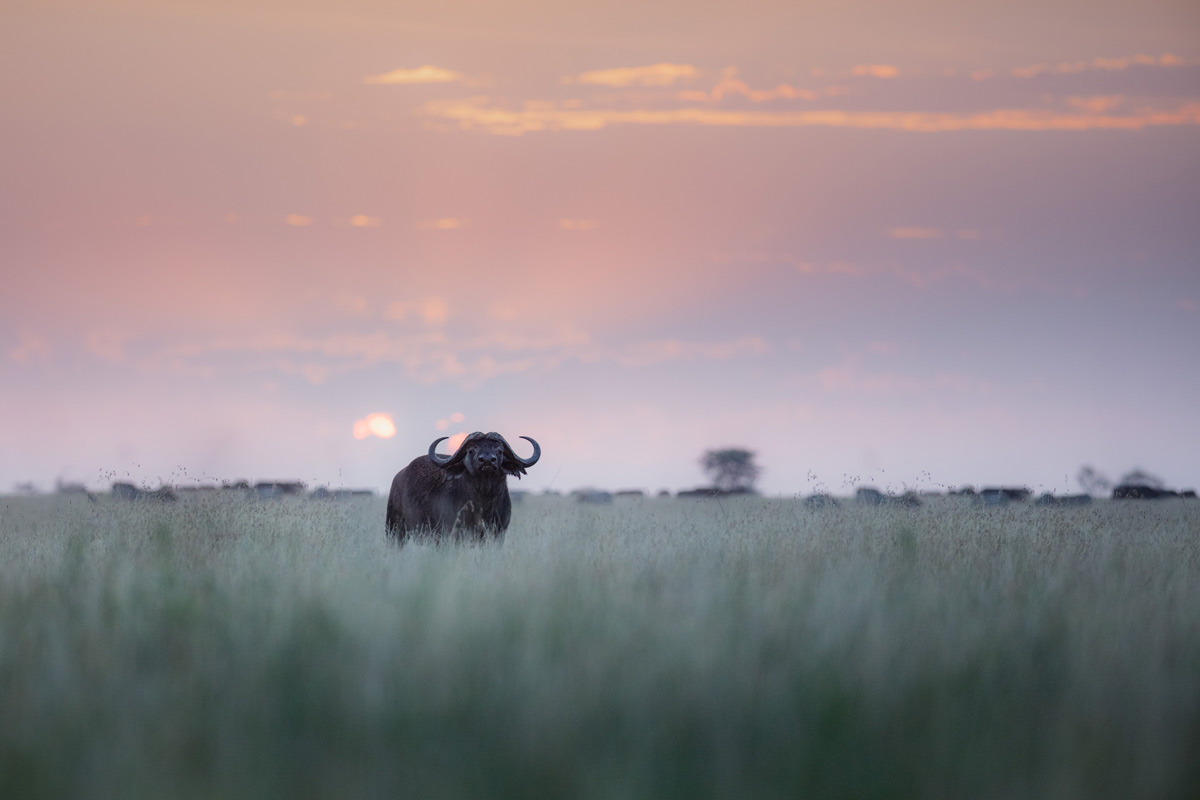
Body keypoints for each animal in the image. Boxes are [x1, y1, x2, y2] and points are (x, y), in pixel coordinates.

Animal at [386, 431, 542, 544]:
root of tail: (398, 477)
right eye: (471, 450)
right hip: (395, 529)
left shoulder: (498, 532)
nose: (487, 460)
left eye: (499, 451)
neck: (484, 501)